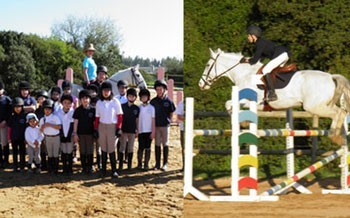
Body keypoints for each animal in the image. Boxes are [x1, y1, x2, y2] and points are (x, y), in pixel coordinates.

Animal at [198, 48, 350, 146]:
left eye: (207, 65)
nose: (201, 84)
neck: (245, 74)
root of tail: (331, 76)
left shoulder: (249, 100)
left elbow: (229, 104)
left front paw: (242, 122)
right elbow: (231, 105)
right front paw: (245, 123)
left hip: (313, 106)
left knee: (337, 113)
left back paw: (334, 136)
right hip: (324, 104)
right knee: (341, 112)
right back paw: (339, 138)